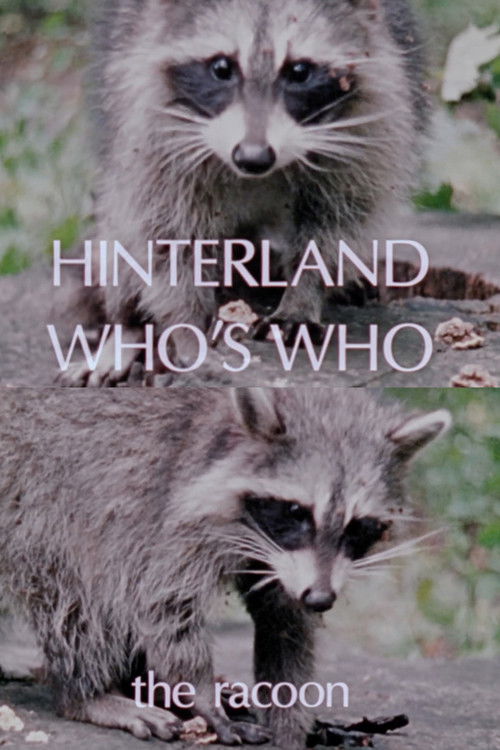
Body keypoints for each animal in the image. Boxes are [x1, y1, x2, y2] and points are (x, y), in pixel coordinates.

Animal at [0, 388, 449, 747]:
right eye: (296, 512)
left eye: (358, 527)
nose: (321, 599)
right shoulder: (168, 518)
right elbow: (162, 606)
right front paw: (200, 694)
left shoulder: (287, 564)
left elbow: (284, 626)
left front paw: (290, 717)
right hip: (36, 510)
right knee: (80, 597)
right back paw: (87, 694)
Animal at [65, 0, 428, 384]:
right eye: (222, 68)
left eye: (299, 71)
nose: (253, 157)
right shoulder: (151, 121)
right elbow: (166, 234)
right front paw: (185, 325)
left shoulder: (371, 118)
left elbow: (339, 218)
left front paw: (304, 294)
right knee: (121, 230)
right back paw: (127, 326)